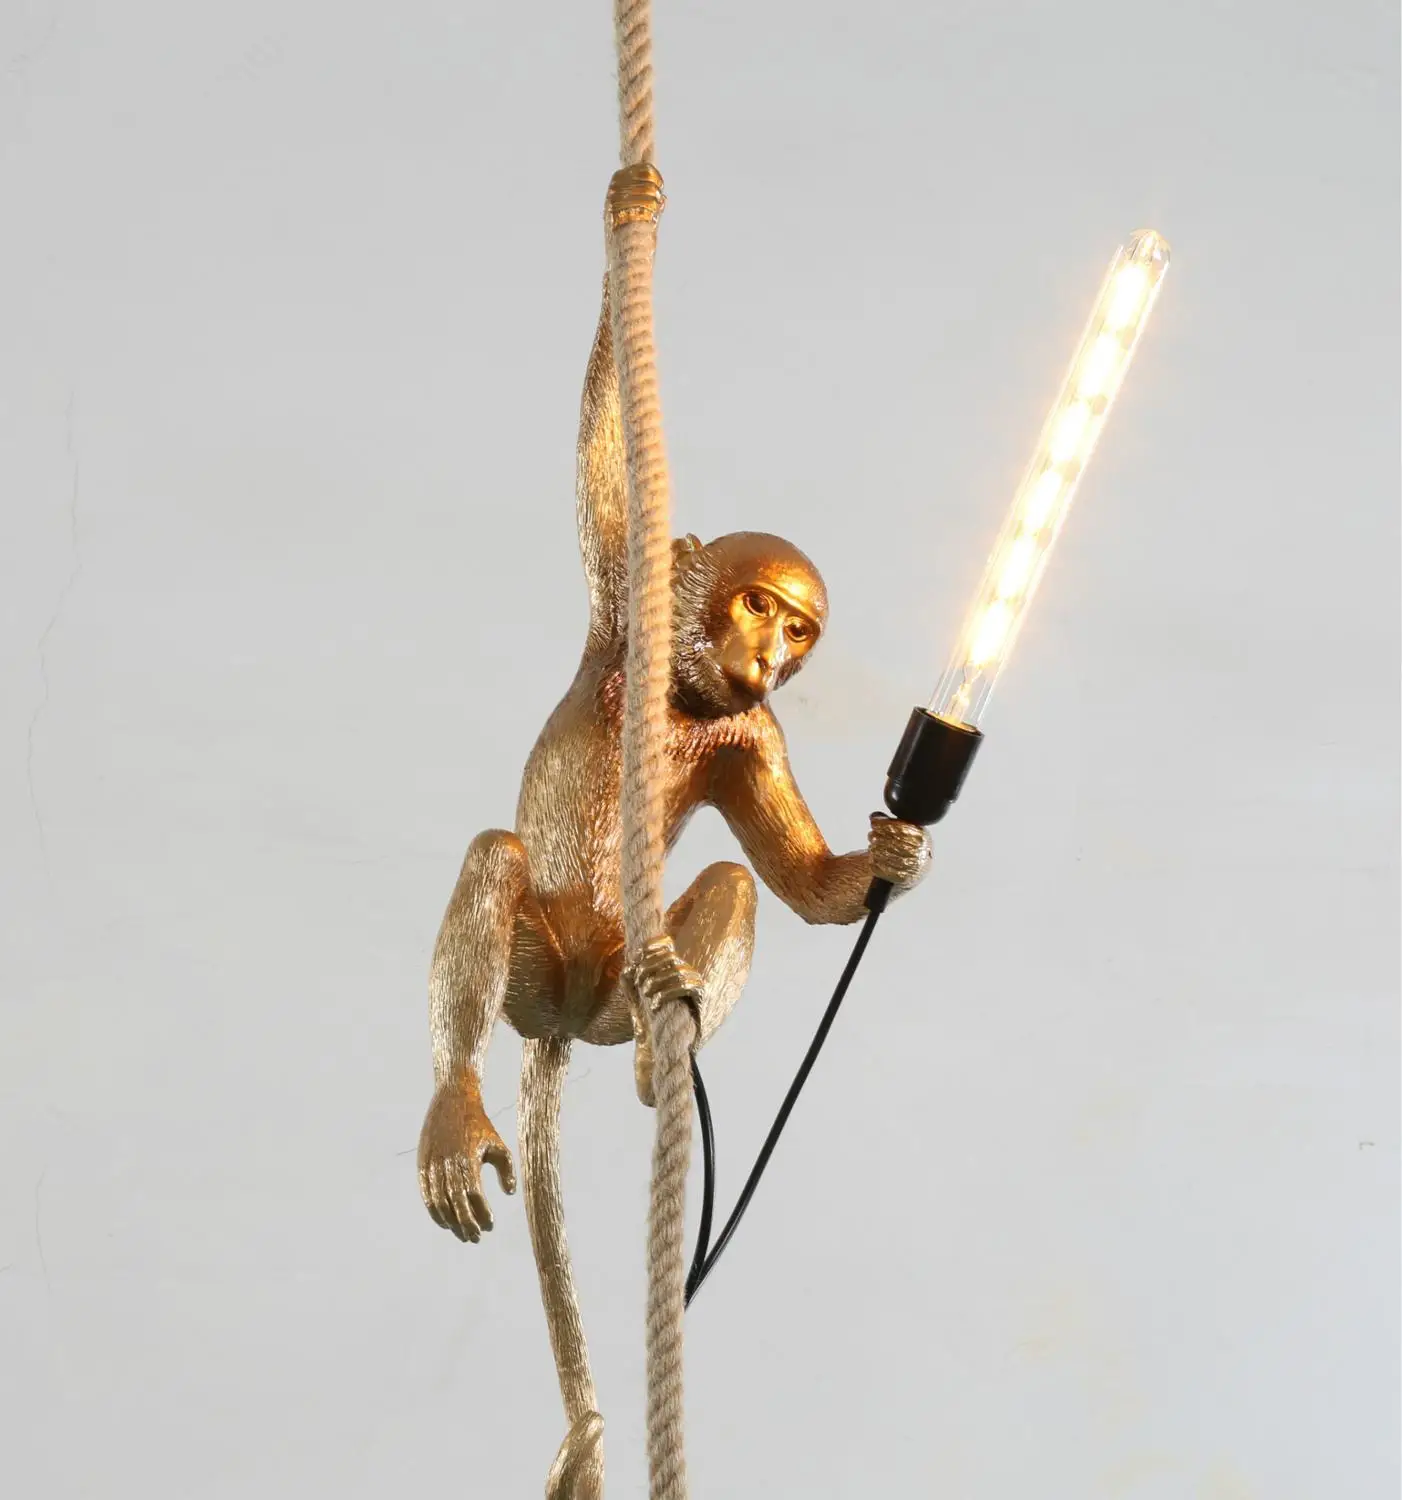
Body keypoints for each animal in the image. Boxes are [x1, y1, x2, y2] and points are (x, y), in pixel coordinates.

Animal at [416, 278, 932, 1497]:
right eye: (758, 607)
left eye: (800, 629)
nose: (773, 653)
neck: (688, 696)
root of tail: (559, 1027)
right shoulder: (627, 598)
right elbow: (605, 454)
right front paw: (630, 233)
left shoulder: (758, 734)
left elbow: (795, 881)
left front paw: (893, 860)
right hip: (536, 971)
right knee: (496, 860)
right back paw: (459, 1109)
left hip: (598, 994)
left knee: (730, 881)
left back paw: (668, 1047)